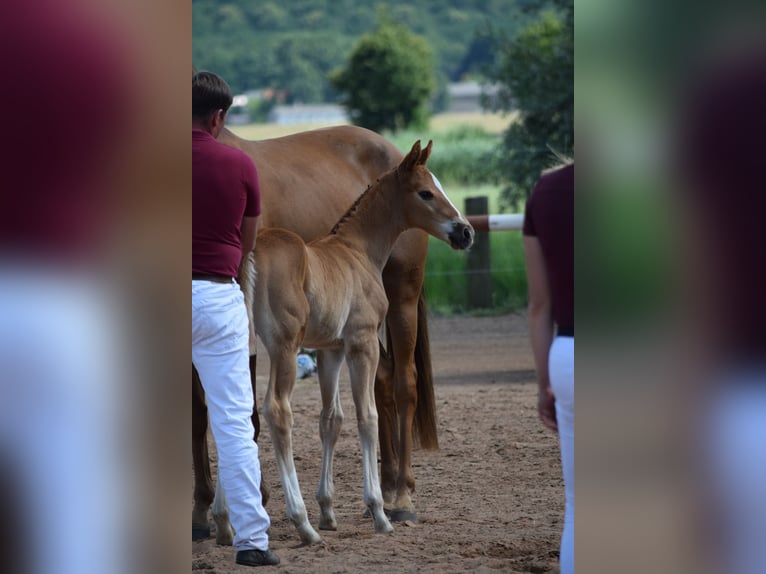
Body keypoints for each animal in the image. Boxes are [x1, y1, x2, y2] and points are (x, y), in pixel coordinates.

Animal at [253, 140, 474, 544]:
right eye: (426, 192)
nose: (465, 232)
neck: (355, 250)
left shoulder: (330, 351)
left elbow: (331, 419)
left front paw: (328, 509)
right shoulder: (362, 343)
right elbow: (366, 416)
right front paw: (377, 510)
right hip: (284, 348)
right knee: (277, 410)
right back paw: (304, 520)